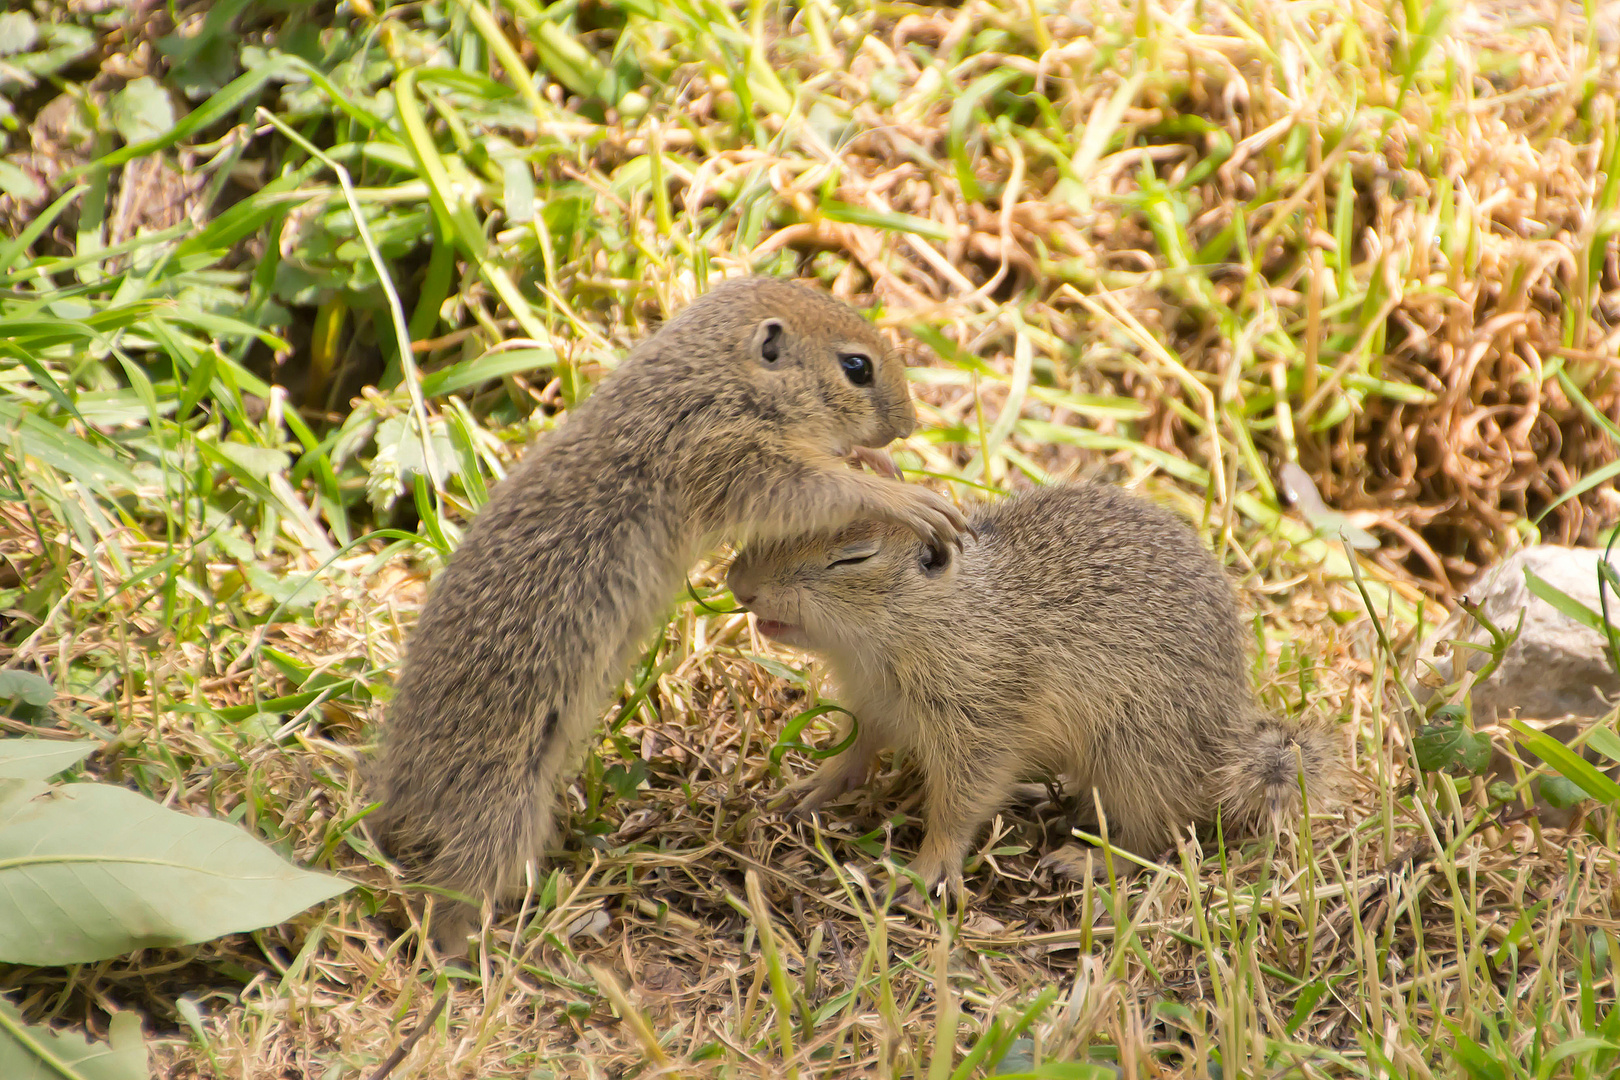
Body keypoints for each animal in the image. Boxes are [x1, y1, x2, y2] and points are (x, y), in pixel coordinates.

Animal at [372, 275, 965, 919]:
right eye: (857, 367)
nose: (908, 424)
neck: (710, 379)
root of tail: (394, 787)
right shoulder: (736, 457)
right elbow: (821, 489)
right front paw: (902, 497)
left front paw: (879, 462)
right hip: (499, 798)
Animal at [729, 482, 1347, 893]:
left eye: (852, 558)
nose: (738, 585)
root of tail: (1225, 736)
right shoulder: (871, 704)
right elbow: (856, 751)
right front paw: (813, 786)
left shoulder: (982, 722)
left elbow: (959, 804)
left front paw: (926, 870)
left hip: (1133, 755)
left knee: (1152, 839)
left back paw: (1085, 861)